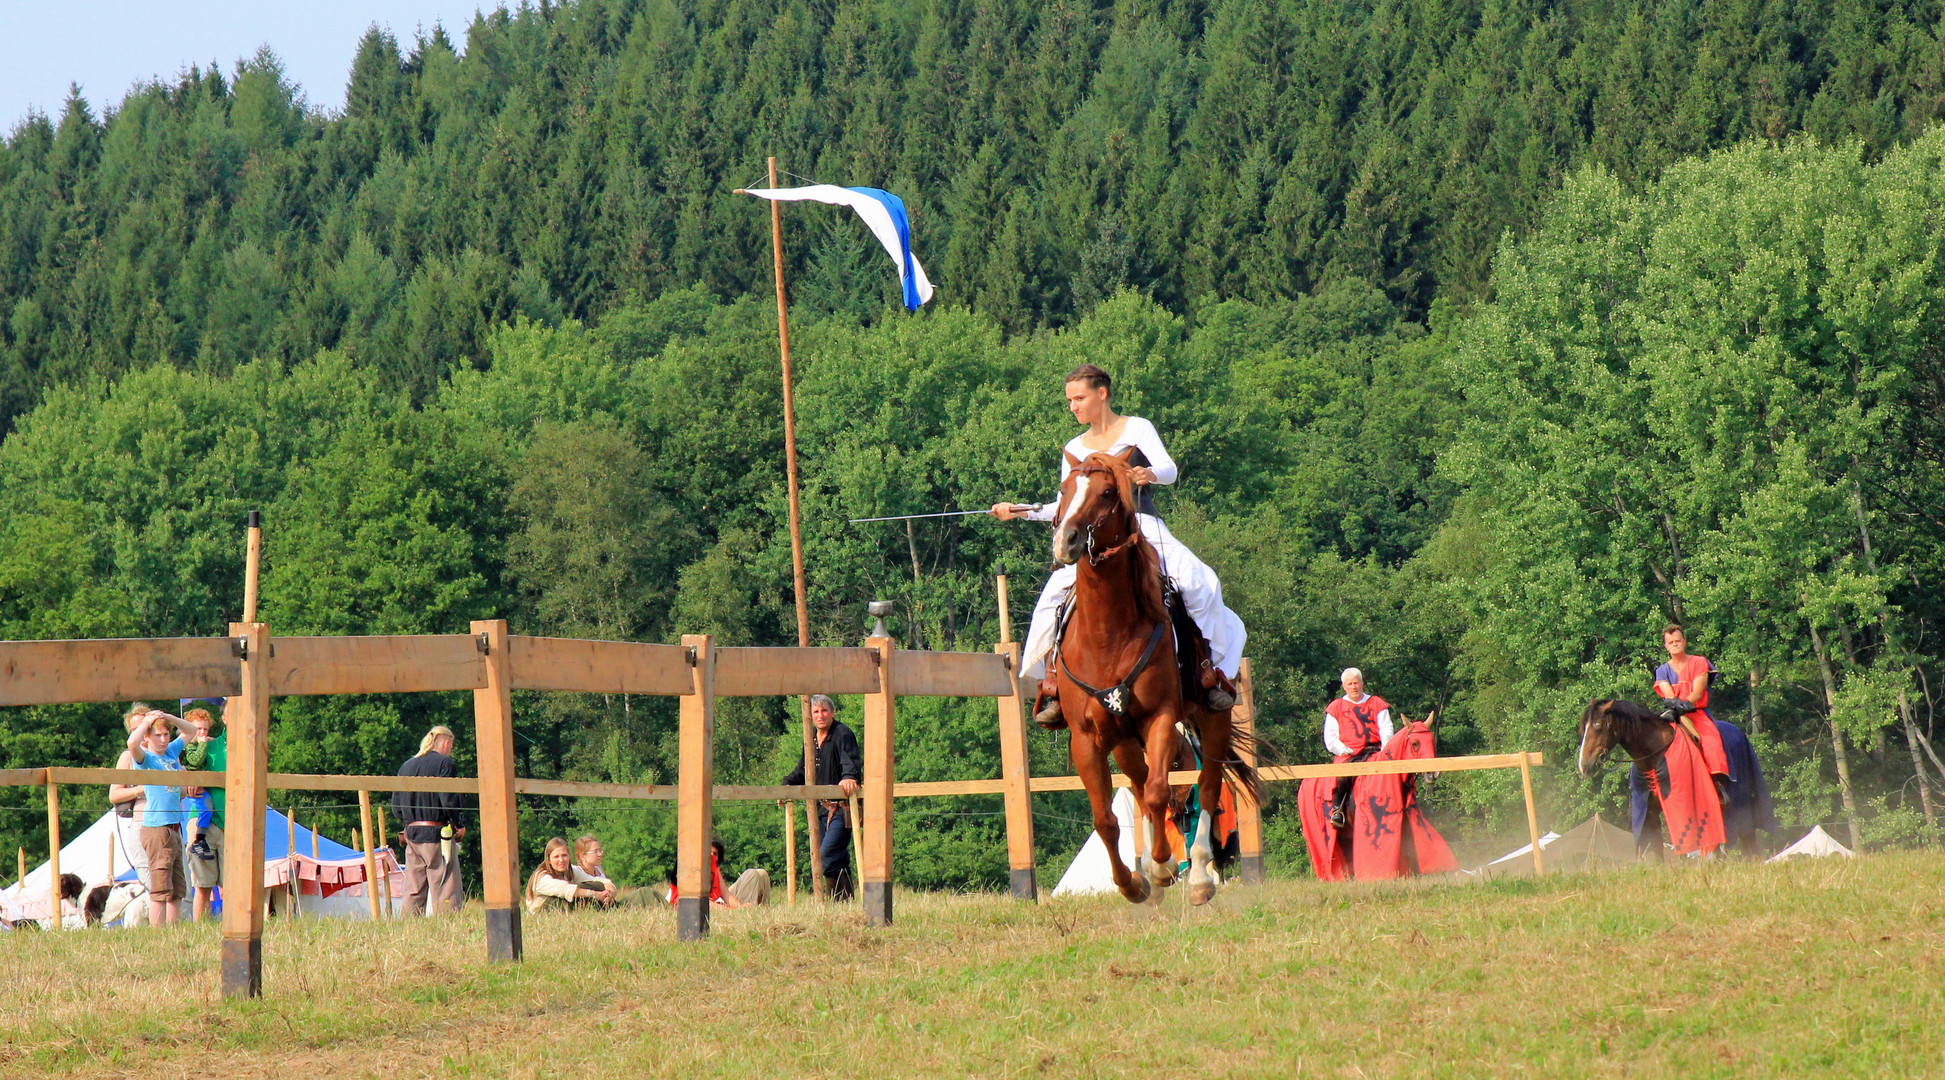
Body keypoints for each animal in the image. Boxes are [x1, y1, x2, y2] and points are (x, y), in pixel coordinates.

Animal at [1050, 443, 1260, 906]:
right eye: (1065, 489)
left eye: (1108, 492)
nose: (1066, 541)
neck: (1107, 634)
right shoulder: (1087, 738)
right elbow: (1107, 816)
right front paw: (1132, 882)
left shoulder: (1161, 718)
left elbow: (1162, 791)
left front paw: (1163, 866)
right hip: (1125, 740)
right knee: (1140, 786)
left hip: (1211, 718)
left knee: (1207, 785)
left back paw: (1197, 877)